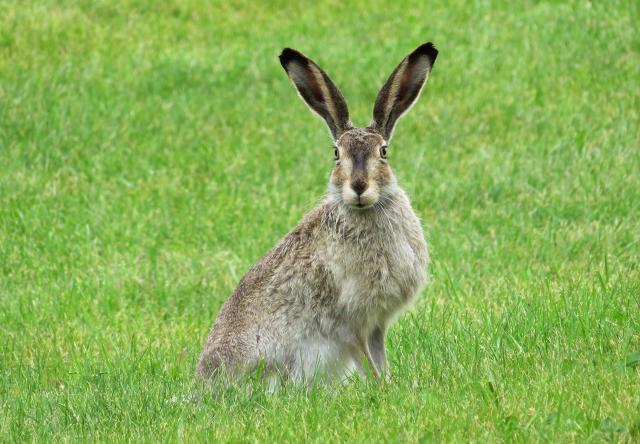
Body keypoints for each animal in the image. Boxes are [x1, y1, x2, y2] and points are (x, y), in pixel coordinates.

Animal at [196, 42, 438, 385]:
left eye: (384, 152)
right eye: (337, 154)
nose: (358, 187)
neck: (365, 211)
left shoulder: (376, 323)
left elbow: (379, 358)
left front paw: (390, 385)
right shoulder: (349, 323)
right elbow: (366, 360)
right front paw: (381, 389)